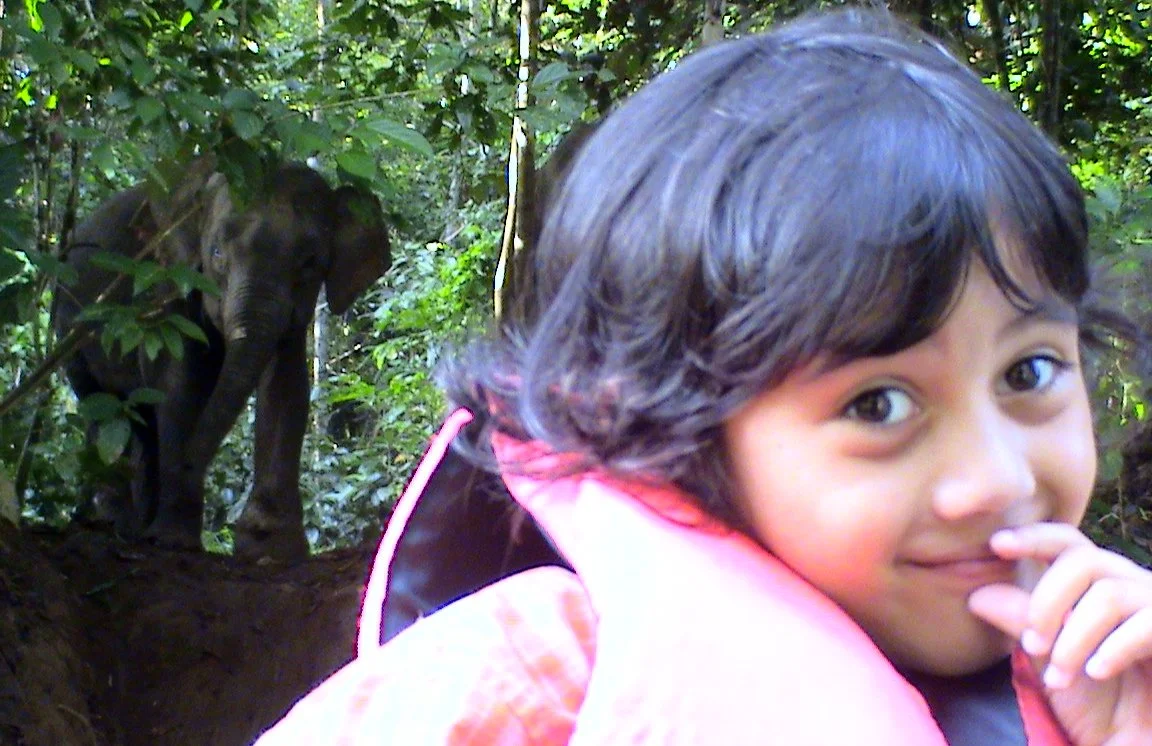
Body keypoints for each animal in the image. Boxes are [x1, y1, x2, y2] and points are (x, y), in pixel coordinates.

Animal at [52, 158, 391, 561]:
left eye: (310, 263)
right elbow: (179, 384)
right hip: (70, 325)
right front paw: (174, 540)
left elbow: (285, 386)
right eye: (216, 254)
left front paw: (270, 547)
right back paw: (115, 523)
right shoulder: (166, 282)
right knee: (102, 405)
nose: (188, 468)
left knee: (138, 421)